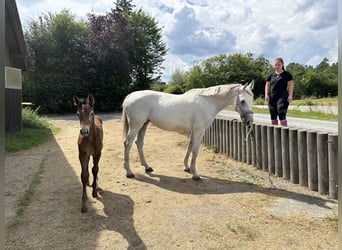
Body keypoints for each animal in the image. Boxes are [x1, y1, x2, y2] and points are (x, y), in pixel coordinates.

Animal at [121, 80, 252, 180]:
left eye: (252, 99)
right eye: (242, 101)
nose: (249, 121)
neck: (207, 103)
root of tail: (130, 96)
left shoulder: (194, 131)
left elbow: (189, 146)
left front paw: (187, 167)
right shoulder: (199, 131)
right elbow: (195, 150)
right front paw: (195, 174)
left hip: (144, 125)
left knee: (139, 143)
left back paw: (147, 167)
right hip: (135, 126)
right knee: (128, 144)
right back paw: (129, 172)